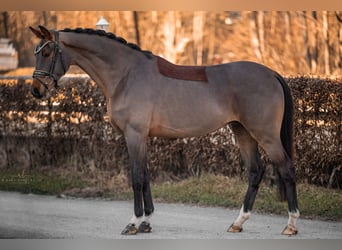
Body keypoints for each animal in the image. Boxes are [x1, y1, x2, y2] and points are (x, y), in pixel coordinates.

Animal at [30, 25, 300, 236]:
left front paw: (133, 223)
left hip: (265, 135)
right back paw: (238, 223)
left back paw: (291, 225)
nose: (36, 90)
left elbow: (137, 177)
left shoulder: (134, 135)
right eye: (37, 52)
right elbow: (146, 175)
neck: (126, 75)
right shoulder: (142, 138)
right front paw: (147, 223)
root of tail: (271, 74)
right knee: (255, 171)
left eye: (47, 52)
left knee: (286, 168)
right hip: (242, 132)